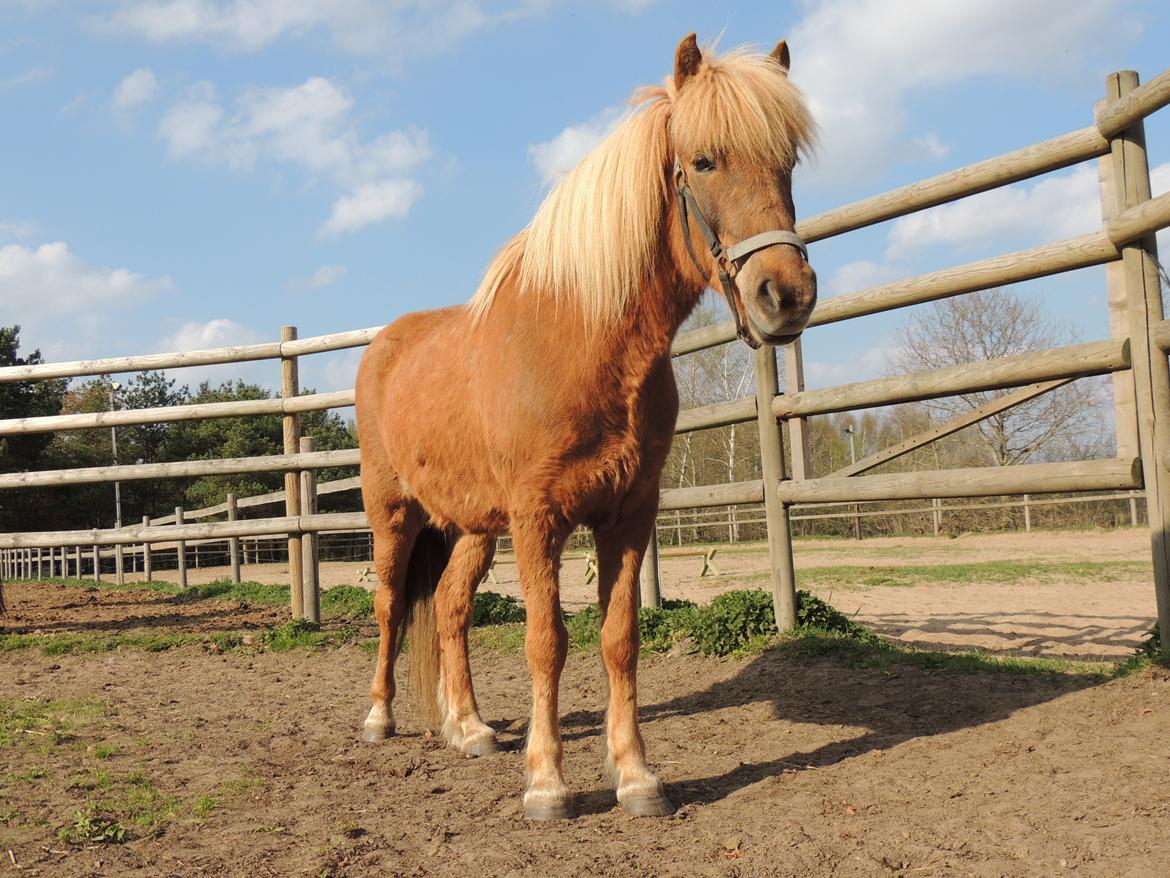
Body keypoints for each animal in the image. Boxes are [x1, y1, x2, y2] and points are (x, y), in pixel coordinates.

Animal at [351, 32, 819, 819]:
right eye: (704, 160)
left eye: (788, 163)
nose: (784, 295)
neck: (583, 341)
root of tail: (383, 344)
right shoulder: (539, 517)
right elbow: (547, 641)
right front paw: (547, 783)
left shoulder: (628, 515)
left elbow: (618, 639)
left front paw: (635, 775)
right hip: (396, 513)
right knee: (390, 606)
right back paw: (381, 717)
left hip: (473, 525)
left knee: (448, 607)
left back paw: (468, 727)